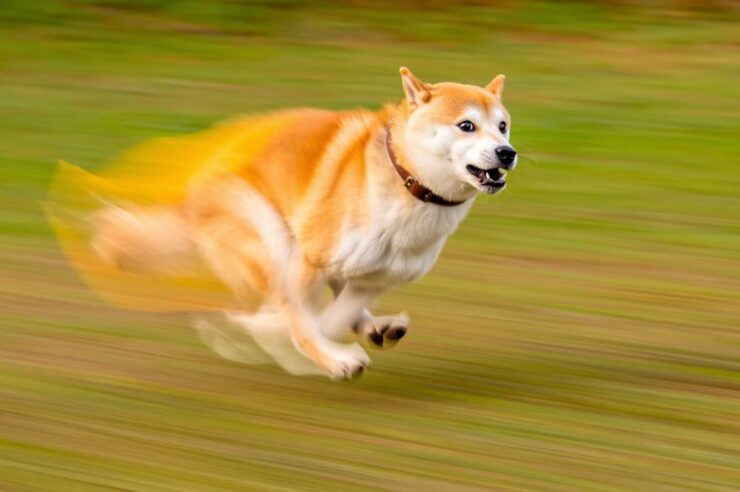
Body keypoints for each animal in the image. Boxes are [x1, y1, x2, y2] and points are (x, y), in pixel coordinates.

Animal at [47, 67, 517, 379]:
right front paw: (324, 354)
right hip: (272, 238)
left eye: (502, 126)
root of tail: (190, 191)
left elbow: (331, 313)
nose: (508, 153)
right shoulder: (308, 263)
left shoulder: (379, 277)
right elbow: (302, 323)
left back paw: (375, 327)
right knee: (285, 302)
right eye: (466, 125)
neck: (408, 186)